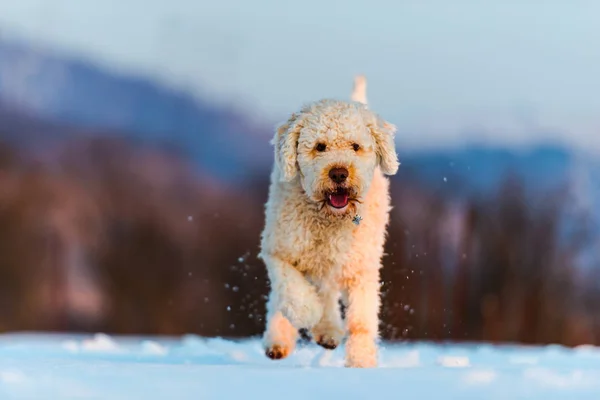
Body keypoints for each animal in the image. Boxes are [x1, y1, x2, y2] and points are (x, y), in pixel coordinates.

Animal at [258, 75, 398, 368]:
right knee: (281, 301)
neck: (328, 220)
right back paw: (279, 341)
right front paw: (309, 314)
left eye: (356, 147)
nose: (339, 173)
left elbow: (361, 321)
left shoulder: (361, 267)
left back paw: (329, 332)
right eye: (319, 146)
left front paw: (361, 361)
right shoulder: (279, 251)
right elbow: (292, 292)